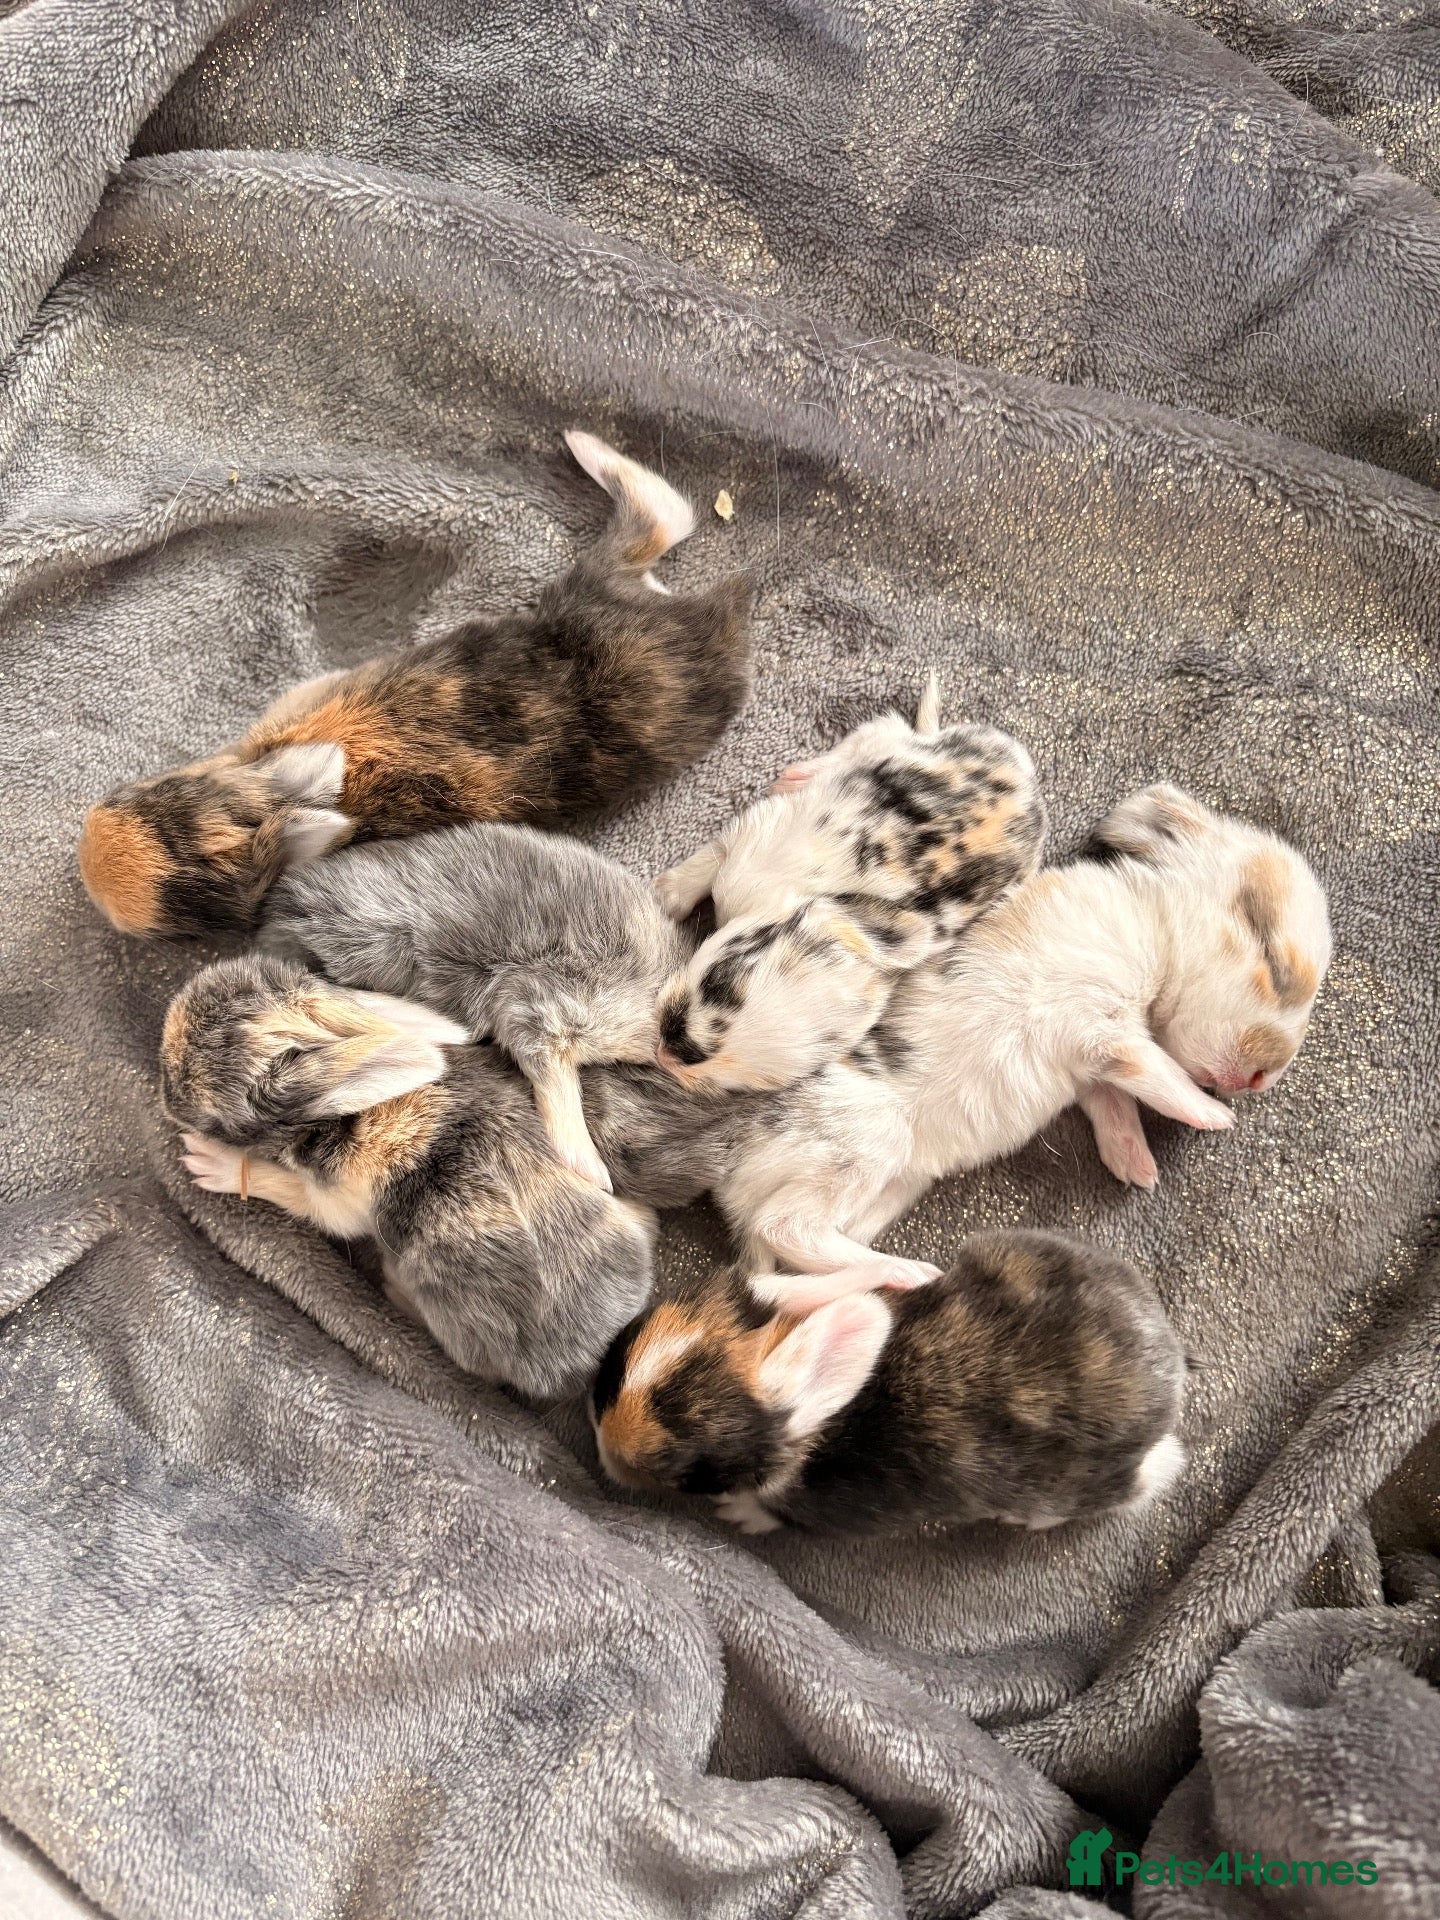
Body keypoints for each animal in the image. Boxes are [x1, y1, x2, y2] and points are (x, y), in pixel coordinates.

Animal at [161, 954, 656, 1399]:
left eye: (212, 1118)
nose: (165, 1097)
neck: (351, 1114)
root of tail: (586, 1361)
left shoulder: (334, 1203)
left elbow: (290, 1191)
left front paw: (208, 1162)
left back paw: (394, 1288)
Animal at [590, 1230, 1188, 1535]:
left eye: (688, 1472)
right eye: (627, 1339)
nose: (599, 1439)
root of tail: (1170, 1378)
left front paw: (739, 1515)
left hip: (1070, 1488)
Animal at [651, 680, 1045, 1091]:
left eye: (742, 1083)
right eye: (718, 980)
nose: (667, 1054)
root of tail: (1024, 772)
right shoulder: (753, 842)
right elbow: (712, 856)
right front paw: (665, 896)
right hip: (891, 749)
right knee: (877, 730)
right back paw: (796, 776)